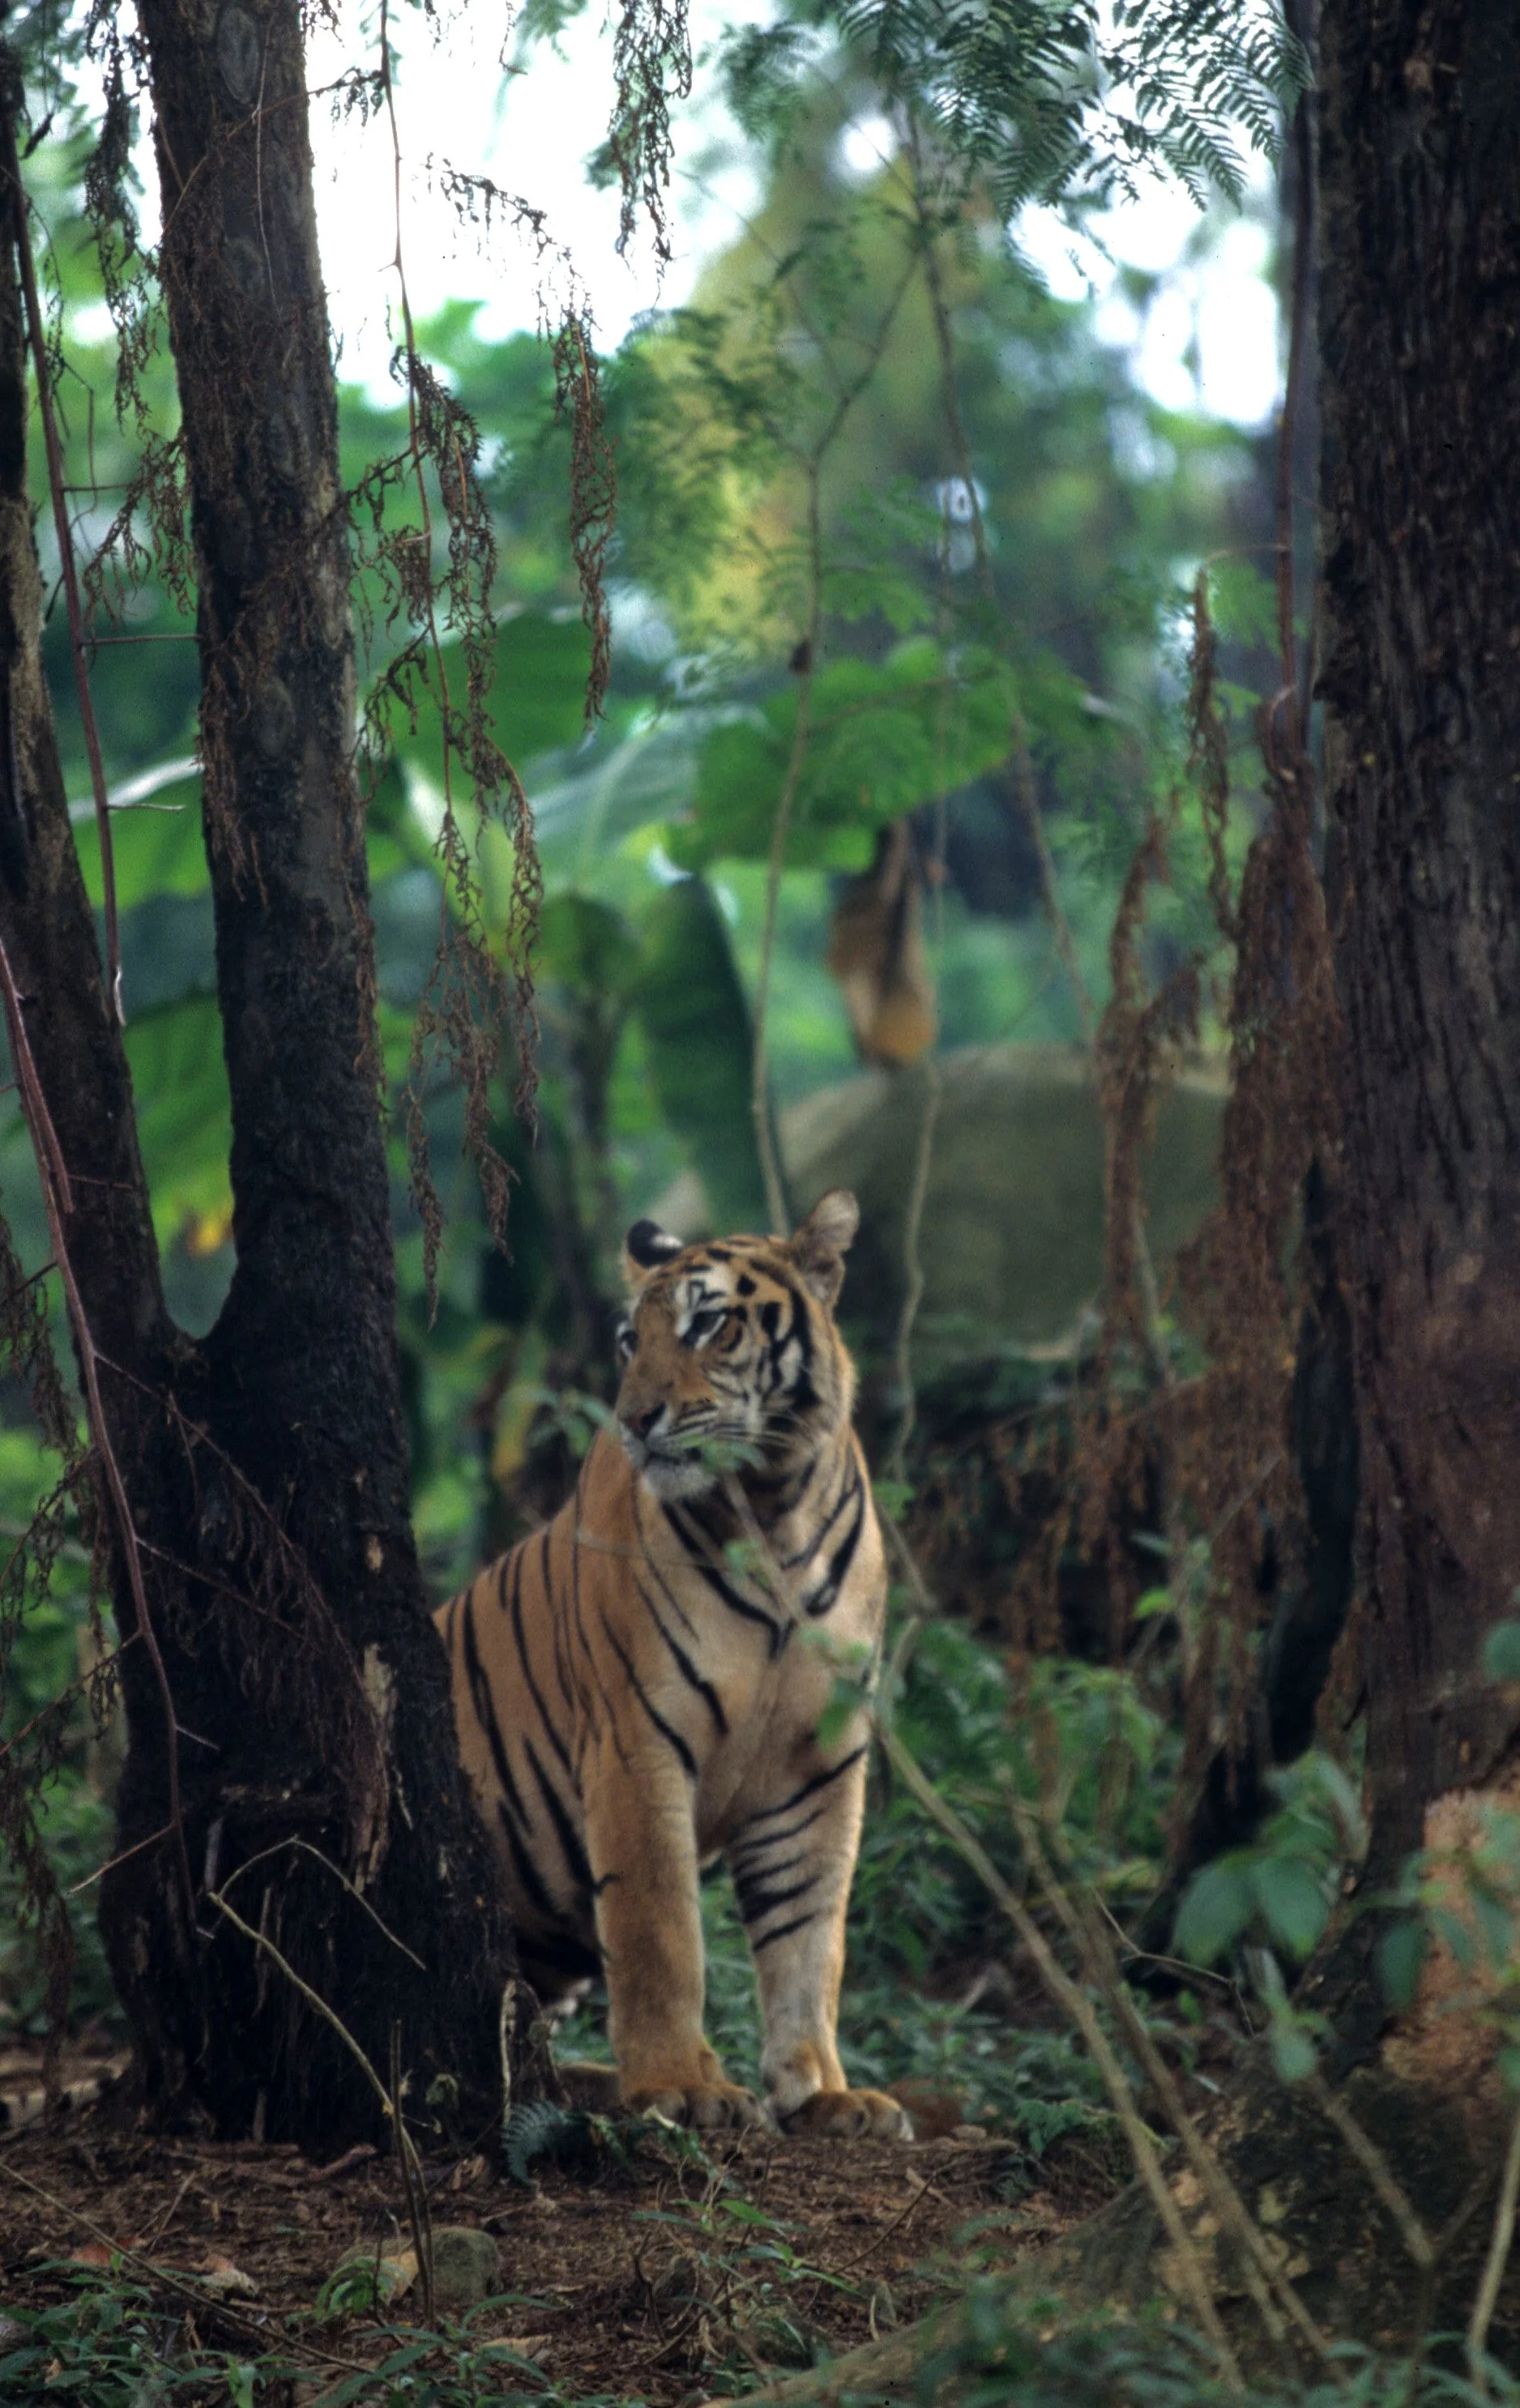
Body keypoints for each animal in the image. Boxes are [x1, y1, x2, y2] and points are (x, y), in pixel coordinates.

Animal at [435, 1189, 909, 2138]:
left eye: (709, 1324)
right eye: (630, 1340)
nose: (633, 1418)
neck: (774, 1511)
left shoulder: (820, 1766)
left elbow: (810, 1940)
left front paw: (823, 2091)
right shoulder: (635, 1741)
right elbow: (659, 1929)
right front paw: (682, 2086)